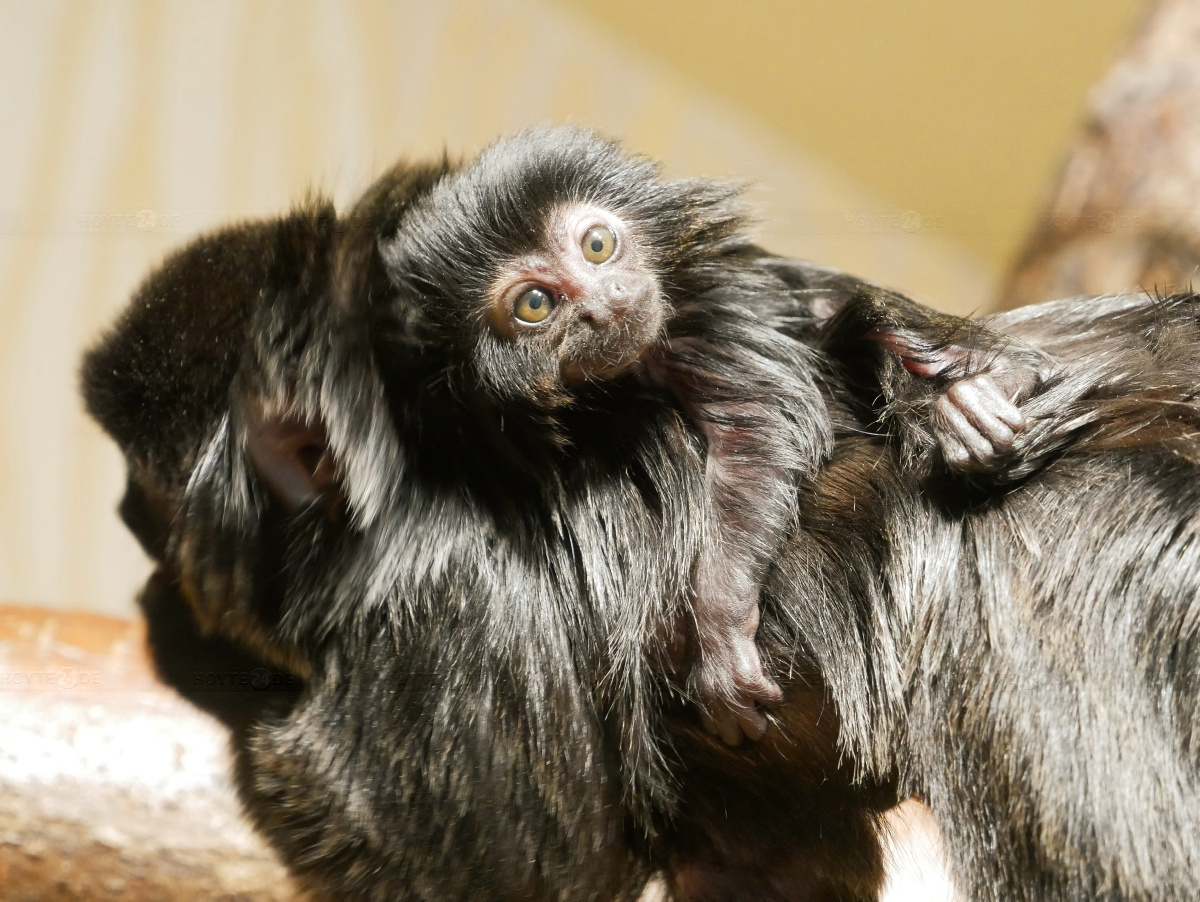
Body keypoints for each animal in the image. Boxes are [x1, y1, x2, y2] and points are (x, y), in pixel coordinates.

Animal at [381, 128, 1041, 748]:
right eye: (535, 303)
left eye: (597, 245)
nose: (604, 304)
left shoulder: (707, 324)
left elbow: (759, 431)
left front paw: (720, 633)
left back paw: (970, 397)